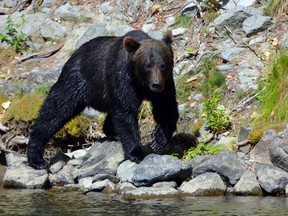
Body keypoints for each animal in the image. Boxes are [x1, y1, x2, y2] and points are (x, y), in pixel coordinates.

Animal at [28, 30, 179, 169]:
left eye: (163, 64)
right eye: (147, 64)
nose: (156, 84)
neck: (140, 82)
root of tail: (74, 54)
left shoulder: (166, 83)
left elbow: (166, 106)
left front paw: (159, 137)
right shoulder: (123, 79)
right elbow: (126, 113)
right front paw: (136, 152)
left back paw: (112, 133)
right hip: (77, 80)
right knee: (55, 110)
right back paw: (36, 158)